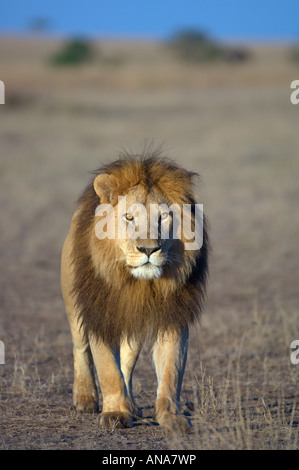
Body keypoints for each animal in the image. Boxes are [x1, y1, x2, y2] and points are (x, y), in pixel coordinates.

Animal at [61, 151, 210, 434]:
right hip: (74, 305)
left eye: (163, 217)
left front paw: (171, 417)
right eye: (129, 217)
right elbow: (107, 368)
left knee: (127, 362)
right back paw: (85, 398)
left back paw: (130, 404)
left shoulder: (172, 316)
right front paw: (114, 413)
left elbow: (170, 370)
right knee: (79, 347)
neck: (140, 285)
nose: (148, 249)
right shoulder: (100, 313)